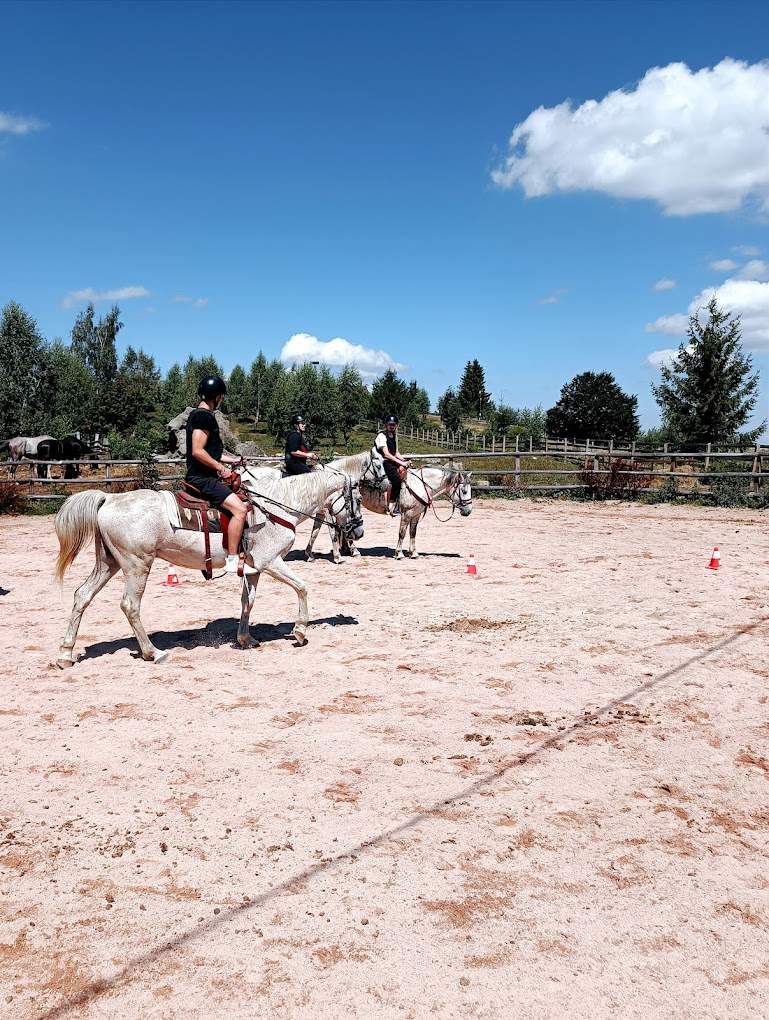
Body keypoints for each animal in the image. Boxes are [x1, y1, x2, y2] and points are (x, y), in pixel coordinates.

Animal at [54, 469, 361, 668]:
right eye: (356, 499)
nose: (358, 531)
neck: (277, 508)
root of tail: (110, 499)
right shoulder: (271, 562)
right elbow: (302, 587)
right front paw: (299, 631)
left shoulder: (253, 569)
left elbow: (247, 602)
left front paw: (245, 638)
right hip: (136, 565)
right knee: (130, 605)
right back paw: (153, 652)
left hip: (109, 563)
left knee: (82, 595)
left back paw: (66, 654)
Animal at [241, 449, 387, 564]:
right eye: (378, 466)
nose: (386, 485)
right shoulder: (328, 511)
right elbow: (334, 531)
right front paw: (341, 555)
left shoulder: (321, 512)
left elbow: (315, 532)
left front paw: (309, 554)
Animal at [310, 460, 473, 560]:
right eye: (464, 491)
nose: (468, 511)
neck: (420, 484)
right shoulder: (406, 514)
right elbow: (402, 533)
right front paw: (399, 553)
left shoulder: (415, 515)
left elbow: (413, 533)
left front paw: (414, 553)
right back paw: (351, 550)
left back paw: (346, 550)